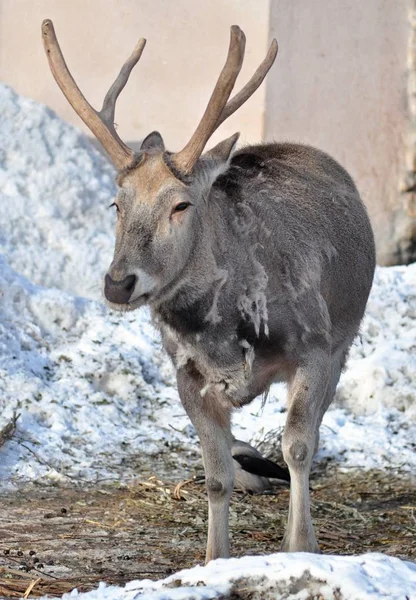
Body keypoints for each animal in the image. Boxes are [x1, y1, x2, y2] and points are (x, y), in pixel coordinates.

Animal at [42, 19, 376, 564]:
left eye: (180, 205)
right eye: (116, 202)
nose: (118, 282)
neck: (225, 335)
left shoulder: (316, 347)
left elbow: (298, 446)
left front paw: (301, 546)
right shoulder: (187, 374)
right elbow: (217, 476)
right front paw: (213, 559)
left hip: (344, 338)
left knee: (313, 431)